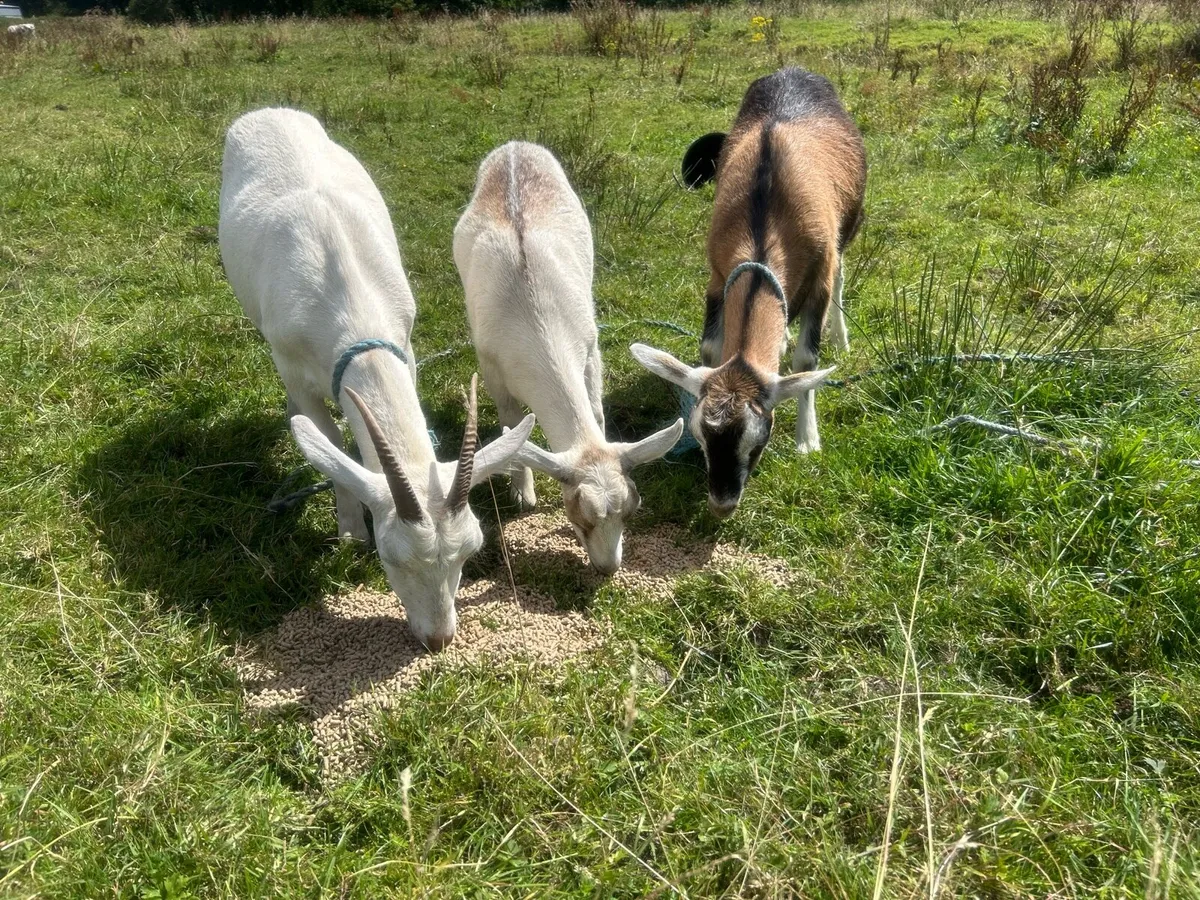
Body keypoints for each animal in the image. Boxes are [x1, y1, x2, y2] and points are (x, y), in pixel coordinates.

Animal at [219, 108, 534, 650]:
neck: (347, 294)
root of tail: (267, 111)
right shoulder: (296, 368)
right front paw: (349, 532)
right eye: (390, 557)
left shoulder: (405, 347)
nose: (437, 639)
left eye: (470, 551)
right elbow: (327, 445)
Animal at [454, 141, 683, 574]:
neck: (535, 318)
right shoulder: (492, 367)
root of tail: (514, 145)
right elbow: (511, 424)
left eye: (631, 510)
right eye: (580, 516)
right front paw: (522, 494)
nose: (608, 568)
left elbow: (595, 409)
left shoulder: (590, 349)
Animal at [631, 67, 865, 518]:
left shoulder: (821, 272)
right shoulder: (718, 275)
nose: (722, 505)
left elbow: (807, 359)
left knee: (844, 275)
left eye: (759, 441)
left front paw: (808, 439)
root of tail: (793, 69)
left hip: (848, 231)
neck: (766, 216)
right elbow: (710, 347)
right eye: (703, 439)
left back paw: (841, 338)